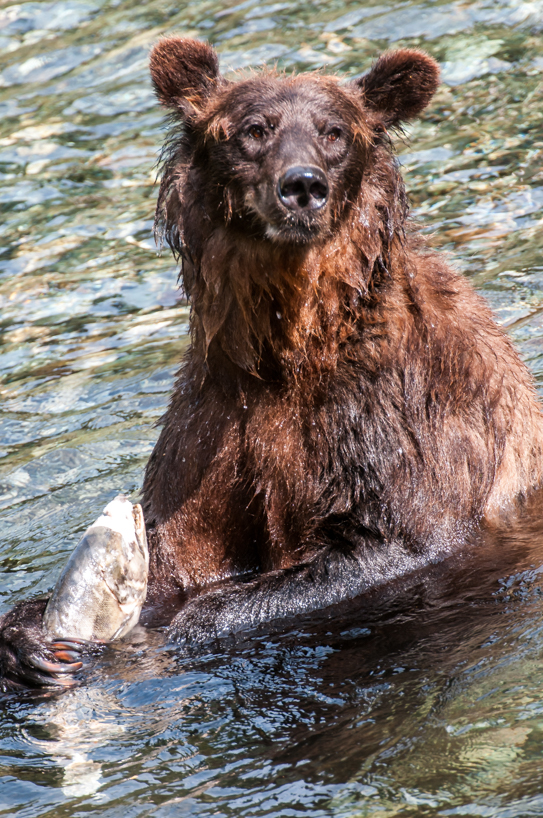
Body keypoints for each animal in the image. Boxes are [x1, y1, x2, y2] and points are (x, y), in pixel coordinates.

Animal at [1, 36, 543, 687]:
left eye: (335, 131)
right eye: (254, 129)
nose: (302, 185)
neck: (291, 343)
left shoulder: (402, 406)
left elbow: (396, 540)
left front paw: (185, 627)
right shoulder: (215, 422)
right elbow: (179, 550)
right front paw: (28, 636)